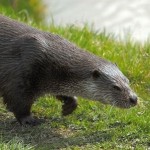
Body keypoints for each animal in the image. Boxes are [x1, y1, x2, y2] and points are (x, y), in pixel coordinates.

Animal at [0, 14, 137, 125]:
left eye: (128, 81)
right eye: (116, 87)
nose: (134, 99)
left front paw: (70, 105)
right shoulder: (22, 72)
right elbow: (17, 101)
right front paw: (28, 120)